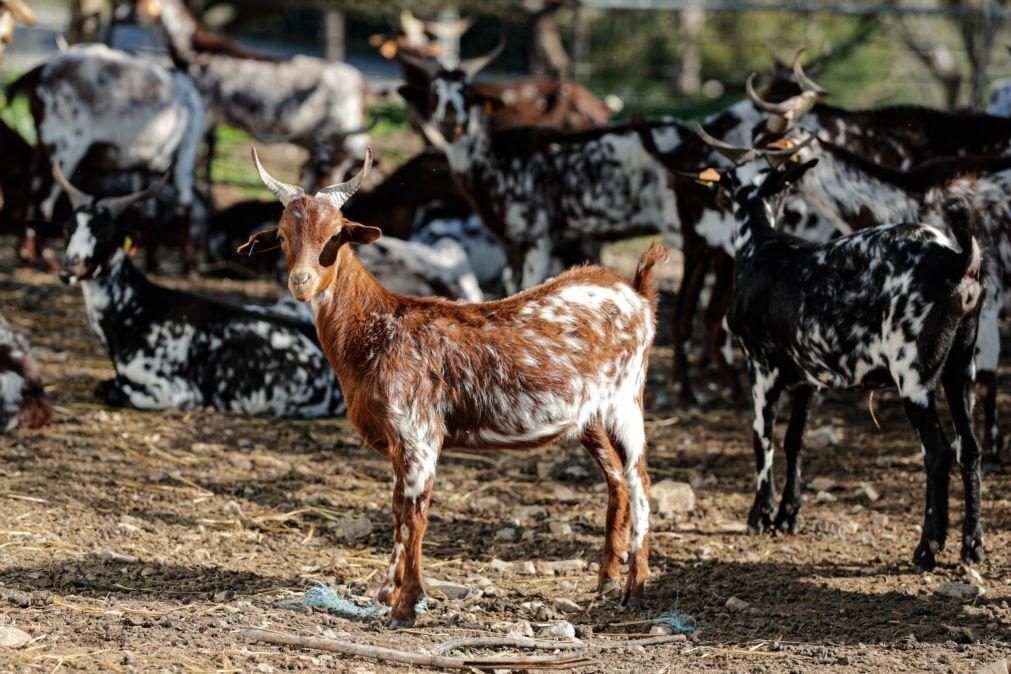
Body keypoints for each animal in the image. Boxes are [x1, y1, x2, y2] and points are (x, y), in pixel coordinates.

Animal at [55, 166, 347, 418]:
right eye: (68, 228)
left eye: (105, 233)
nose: (69, 267)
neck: (136, 310)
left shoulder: (175, 391)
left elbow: (106, 389)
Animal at [241, 147, 667, 626]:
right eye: (281, 235)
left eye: (336, 235)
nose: (301, 281)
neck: (377, 329)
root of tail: (636, 291)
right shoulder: (398, 441)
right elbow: (396, 511)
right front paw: (386, 594)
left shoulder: (419, 432)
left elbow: (414, 516)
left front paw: (407, 605)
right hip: (588, 415)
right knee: (615, 476)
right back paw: (607, 577)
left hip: (626, 398)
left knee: (639, 477)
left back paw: (635, 585)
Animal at [699, 150, 982, 573]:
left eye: (728, 180)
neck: (761, 247)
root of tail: (958, 258)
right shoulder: (810, 378)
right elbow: (794, 440)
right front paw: (788, 516)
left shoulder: (761, 367)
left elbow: (761, 437)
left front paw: (760, 516)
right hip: (960, 370)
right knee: (970, 449)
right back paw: (972, 546)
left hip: (913, 375)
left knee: (938, 453)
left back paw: (927, 549)